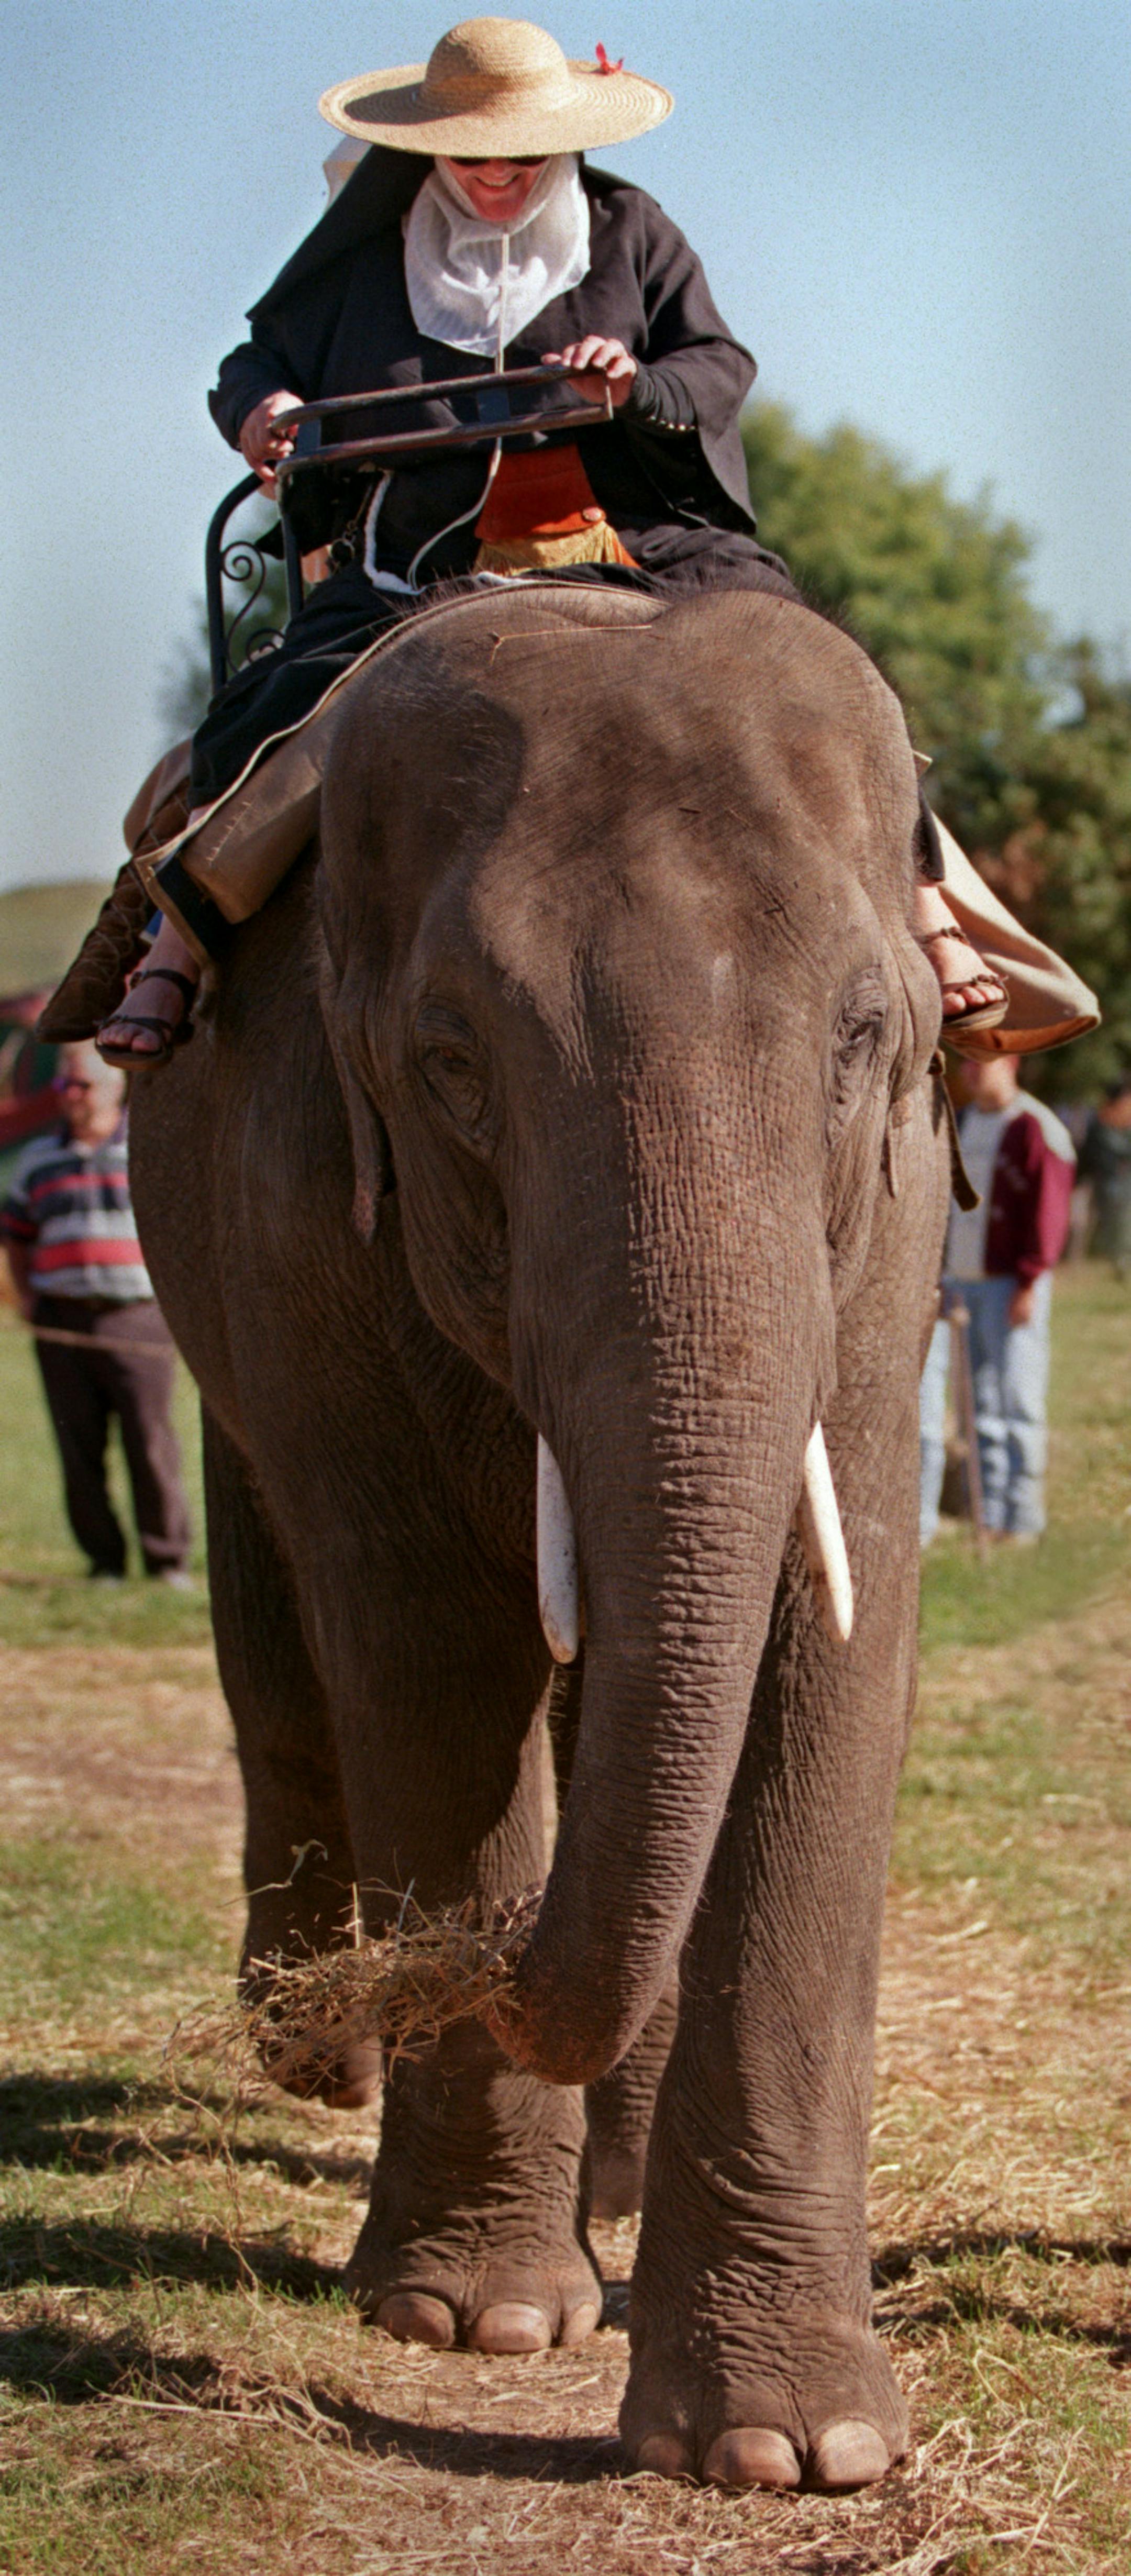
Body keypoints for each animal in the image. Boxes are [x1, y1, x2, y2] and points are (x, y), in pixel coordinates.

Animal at [128, 575, 950, 2495]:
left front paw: (793, 2451)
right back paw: (325, 2055)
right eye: (450, 1065)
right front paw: (479, 2324)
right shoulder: (298, 1191)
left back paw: (615, 2179)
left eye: (864, 1040)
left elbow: (835, 1642)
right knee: (286, 1604)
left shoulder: (897, 1221)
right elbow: (430, 1647)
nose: (467, 1968)